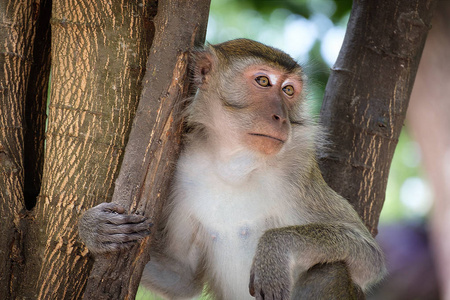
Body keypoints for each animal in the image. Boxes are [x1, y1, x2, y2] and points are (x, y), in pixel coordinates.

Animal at [78, 38, 386, 298]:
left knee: (330, 269)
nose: (281, 117)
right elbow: (183, 278)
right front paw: (93, 229)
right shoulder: (179, 174)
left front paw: (275, 249)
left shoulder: (298, 171)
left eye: (288, 90)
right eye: (263, 81)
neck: (235, 163)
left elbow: (369, 258)